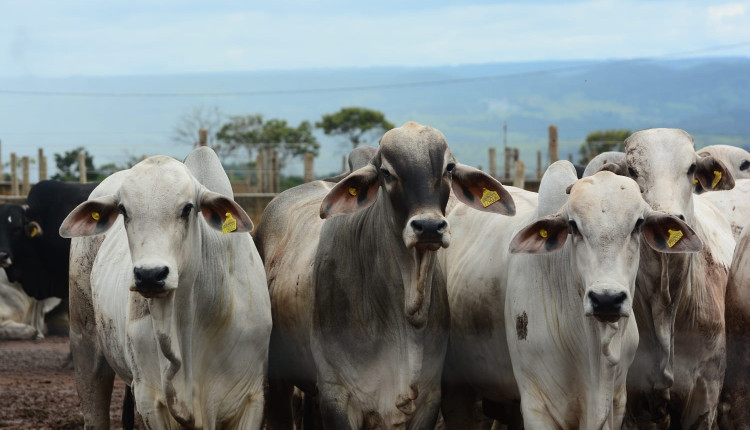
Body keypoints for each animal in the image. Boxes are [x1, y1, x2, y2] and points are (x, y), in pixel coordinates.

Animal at [61, 149, 274, 430]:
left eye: (187, 208)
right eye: (123, 210)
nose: (149, 275)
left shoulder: (251, 398)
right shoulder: (150, 400)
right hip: (85, 343)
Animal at [258, 122, 516, 430]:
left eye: (449, 168)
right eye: (386, 173)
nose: (429, 227)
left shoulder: (429, 398)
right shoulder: (336, 395)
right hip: (277, 380)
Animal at [440, 162, 700, 430]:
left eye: (638, 223)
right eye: (573, 226)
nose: (606, 299)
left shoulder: (616, 403)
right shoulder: (538, 406)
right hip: (455, 388)